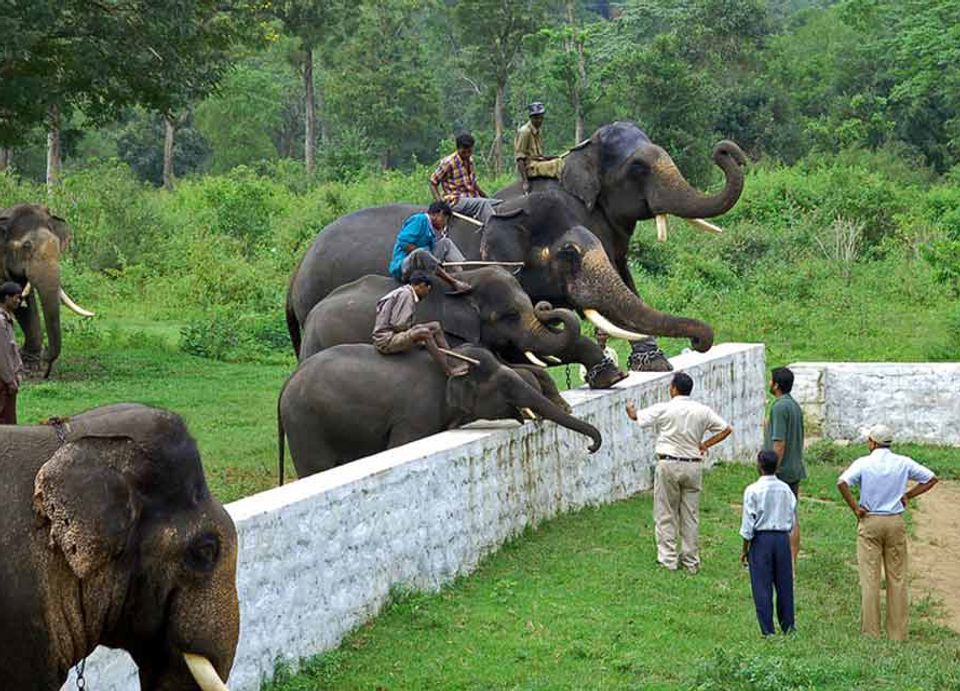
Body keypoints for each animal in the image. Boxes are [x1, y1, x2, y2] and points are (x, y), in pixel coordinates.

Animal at [274, 344, 600, 484]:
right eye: (505, 385)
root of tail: (286, 385)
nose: (591, 447)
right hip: (306, 425)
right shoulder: (415, 416)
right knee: (315, 468)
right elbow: (400, 444)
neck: (453, 362)